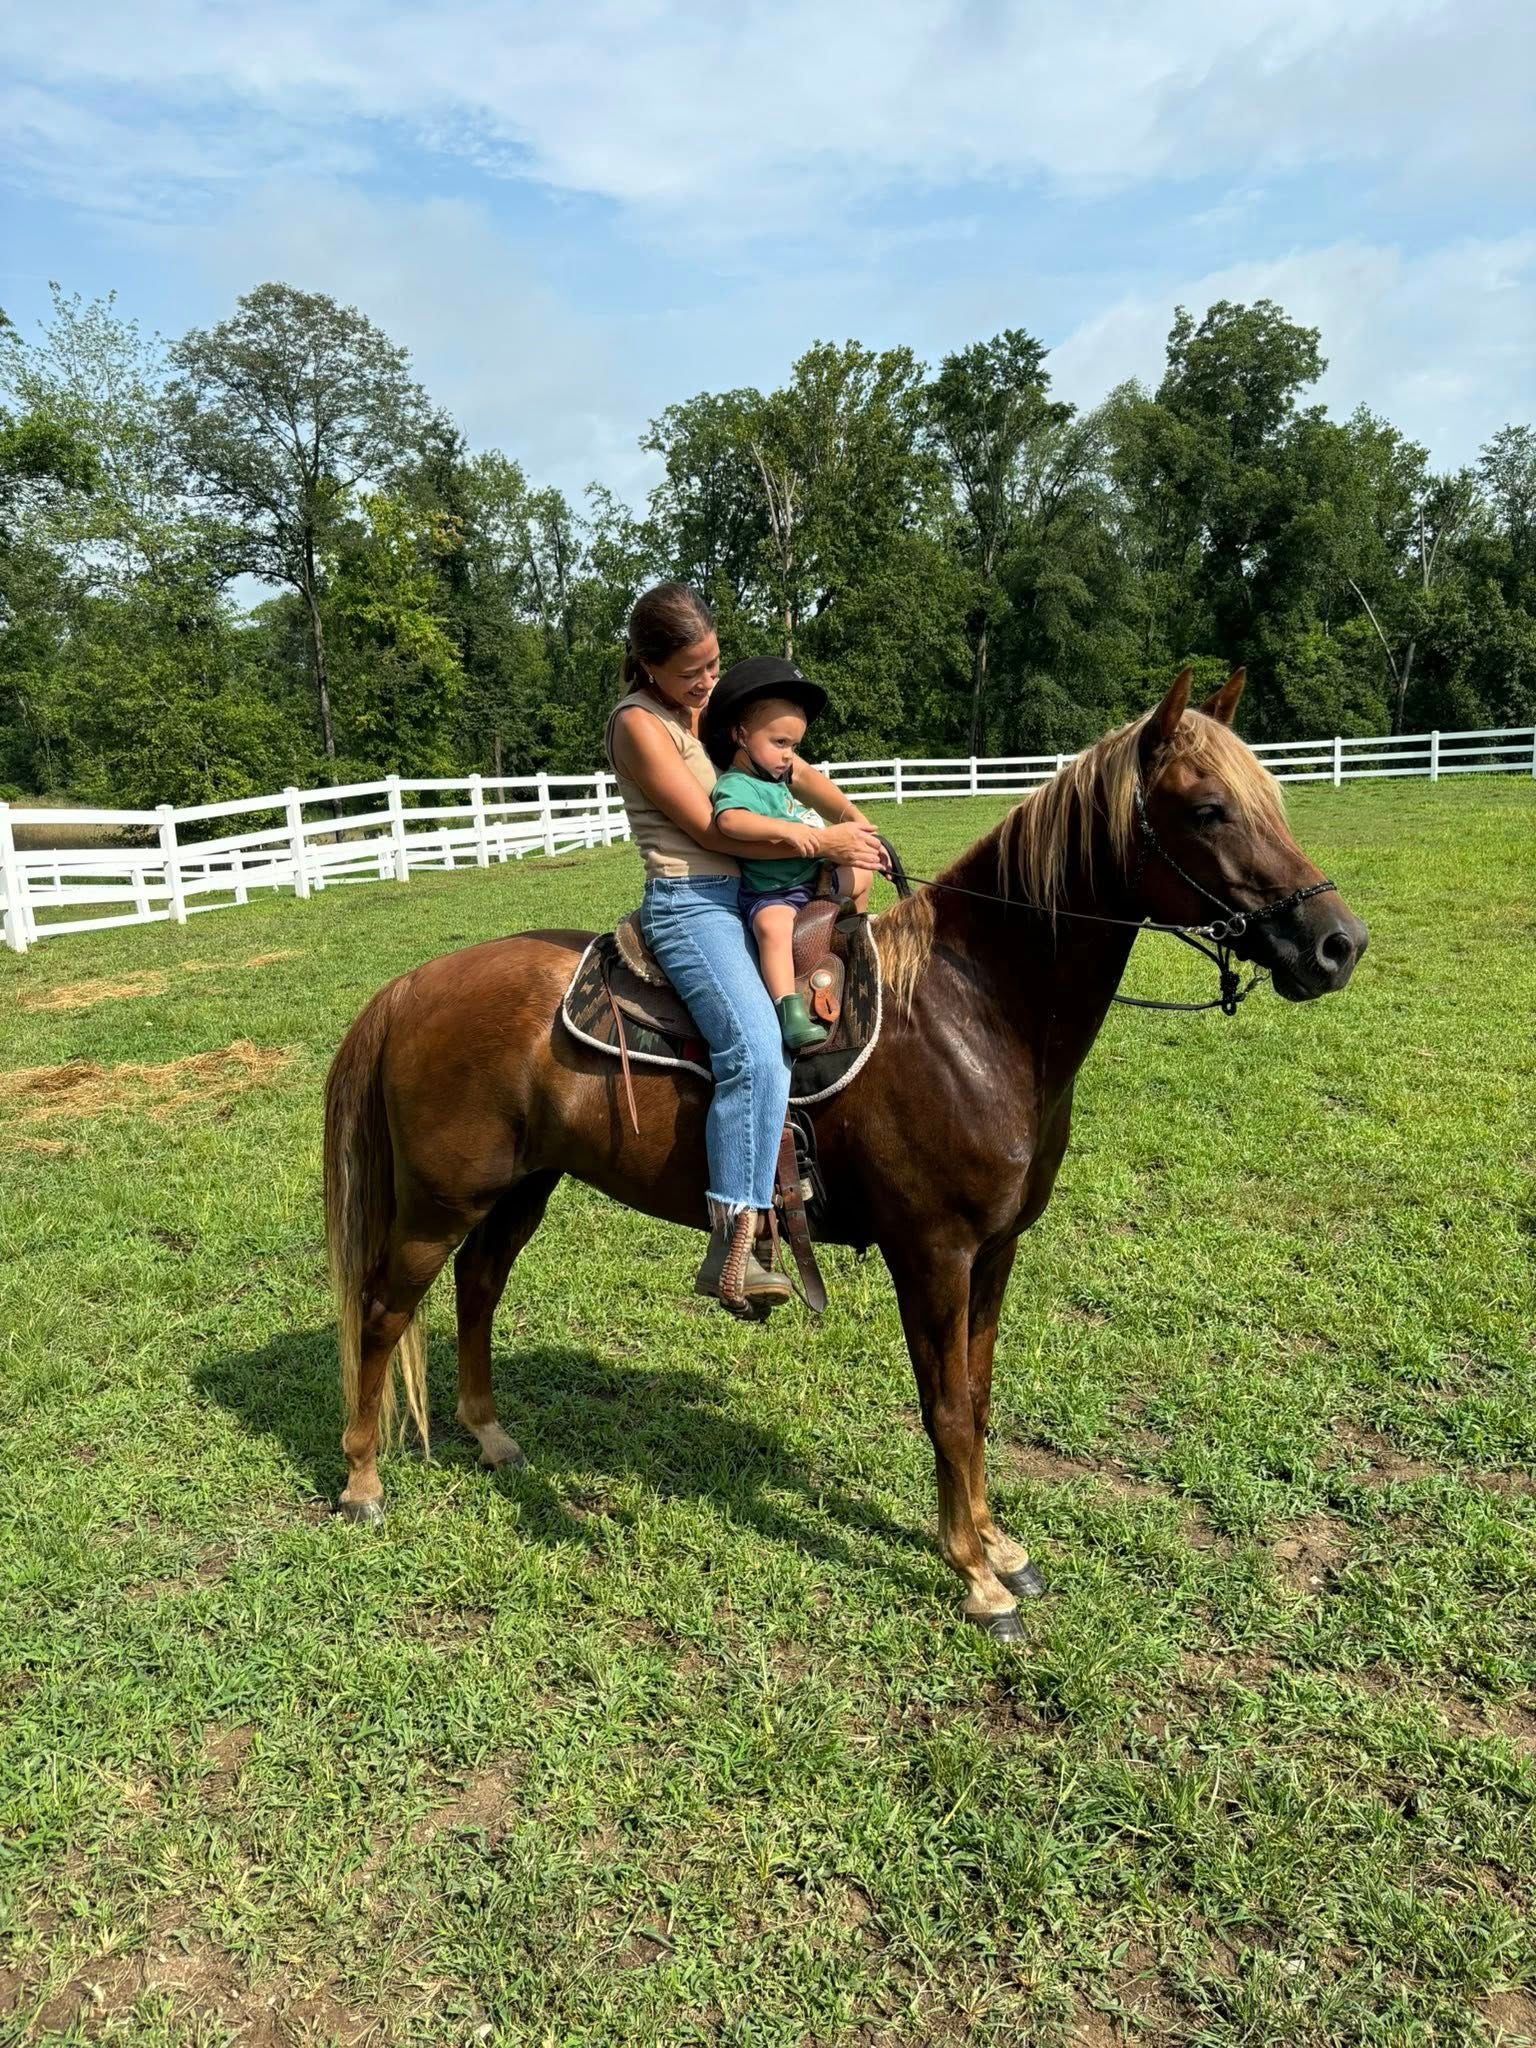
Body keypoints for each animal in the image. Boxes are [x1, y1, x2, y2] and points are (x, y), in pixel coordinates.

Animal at [323, 669, 1367, 1639]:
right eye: (1208, 809)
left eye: (1272, 799)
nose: (1337, 945)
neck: (971, 1012)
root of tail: (414, 985)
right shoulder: (932, 1253)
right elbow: (946, 1409)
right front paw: (975, 1577)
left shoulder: (996, 1251)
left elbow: (978, 1394)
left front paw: (1000, 1545)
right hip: (438, 1202)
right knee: (382, 1310)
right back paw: (364, 1482)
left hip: (520, 1189)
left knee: (478, 1290)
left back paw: (492, 1438)